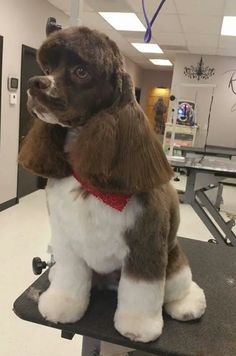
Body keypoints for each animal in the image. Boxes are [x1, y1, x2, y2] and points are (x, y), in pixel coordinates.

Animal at [18, 26, 206, 340]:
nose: (35, 83)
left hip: (173, 263)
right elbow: (70, 278)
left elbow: (142, 292)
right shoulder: (66, 240)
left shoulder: (145, 243)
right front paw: (62, 306)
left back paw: (188, 305)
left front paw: (138, 328)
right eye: (48, 69)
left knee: (180, 288)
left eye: (81, 71)